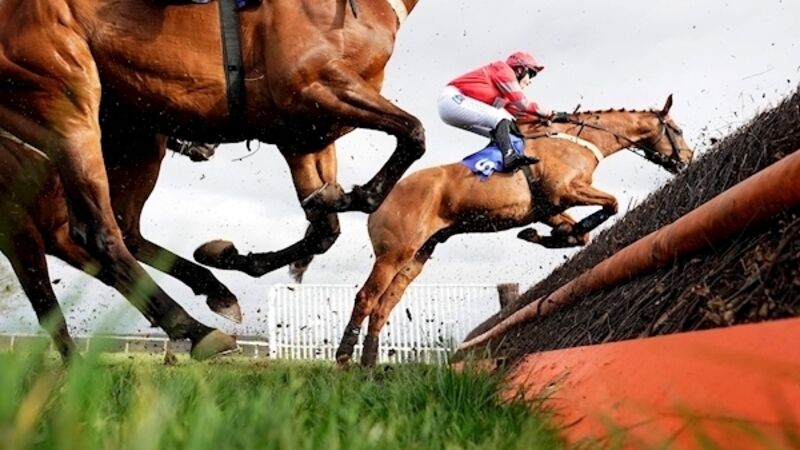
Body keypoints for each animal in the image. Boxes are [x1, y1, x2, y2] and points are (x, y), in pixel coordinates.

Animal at [0, 130, 242, 360]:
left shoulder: (58, 234)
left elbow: (119, 274)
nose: (211, 145)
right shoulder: (18, 229)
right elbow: (48, 307)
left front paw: (204, 319)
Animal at [329, 96, 694, 367]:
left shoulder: (549, 207)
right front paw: (552, 235)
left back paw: (370, 365)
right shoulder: (564, 191)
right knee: (367, 297)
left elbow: (581, 233)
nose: (687, 159)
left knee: (384, 305)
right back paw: (345, 358)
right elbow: (613, 204)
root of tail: (378, 198)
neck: (580, 140)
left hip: (418, 256)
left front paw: (546, 236)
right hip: (394, 252)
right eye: (676, 129)